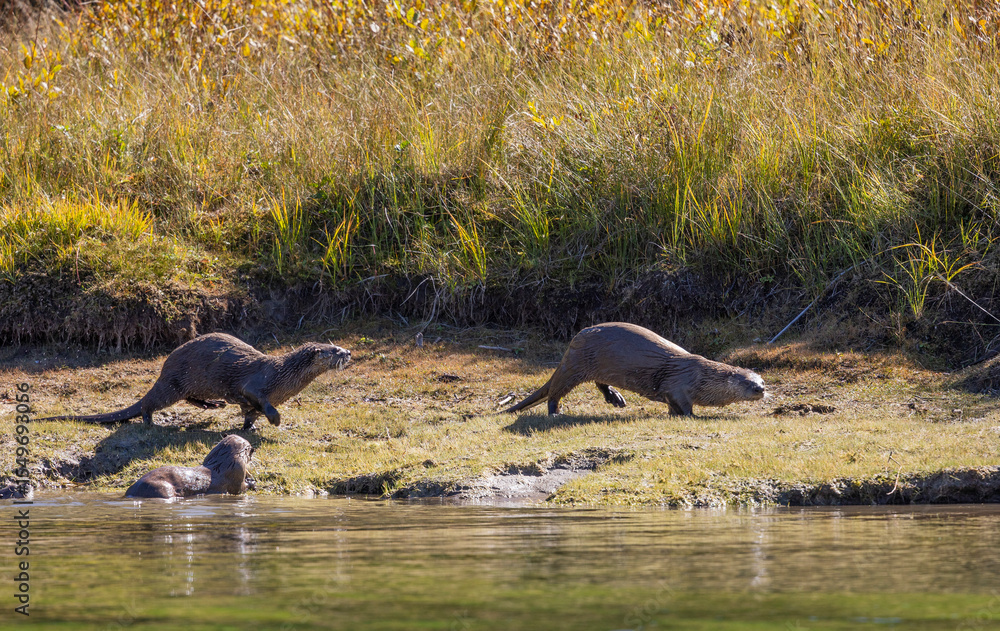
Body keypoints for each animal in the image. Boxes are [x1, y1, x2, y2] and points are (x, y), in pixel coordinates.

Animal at [38, 333, 351, 430]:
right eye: (334, 350)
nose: (348, 353)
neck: (282, 376)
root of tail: (164, 367)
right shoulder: (256, 384)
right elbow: (258, 400)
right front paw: (274, 419)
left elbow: (249, 413)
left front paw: (250, 427)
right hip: (173, 384)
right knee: (149, 404)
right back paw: (151, 422)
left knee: (190, 398)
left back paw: (211, 405)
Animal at [125, 435, 255, 498]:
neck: (223, 464)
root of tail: (132, 491)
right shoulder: (235, 478)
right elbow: (240, 488)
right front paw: (252, 482)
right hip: (160, 488)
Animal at [504, 322, 765, 416]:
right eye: (747, 382)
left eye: (761, 381)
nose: (761, 390)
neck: (702, 377)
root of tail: (574, 340)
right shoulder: (678, 385)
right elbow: (682, 405)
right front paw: (692, 416)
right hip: (575, 365)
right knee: (555, 392)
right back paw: (555, 413)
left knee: (599, 382)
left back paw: (615, 398)